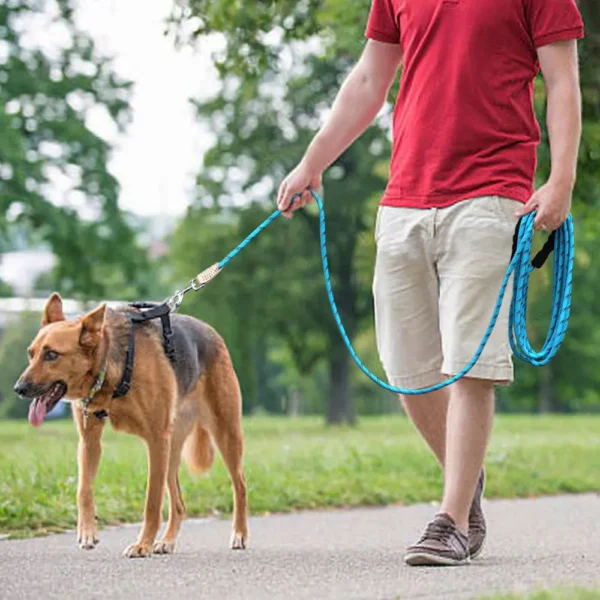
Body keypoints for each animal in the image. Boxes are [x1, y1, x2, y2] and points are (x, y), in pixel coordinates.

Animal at [14, 292, 248, 556]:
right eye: (31, 353)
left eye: (51, 354)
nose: (19, 389)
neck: (108, 365)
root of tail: (212, 332)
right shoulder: (89, 441)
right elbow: (83, 489)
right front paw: (87, 532)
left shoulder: (156, 440)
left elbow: (152, 501)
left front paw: (142, 544)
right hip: (171, 450)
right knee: (178, 503)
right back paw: (167, 540)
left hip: (224, 434)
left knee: (240, 485)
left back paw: (239, 534)